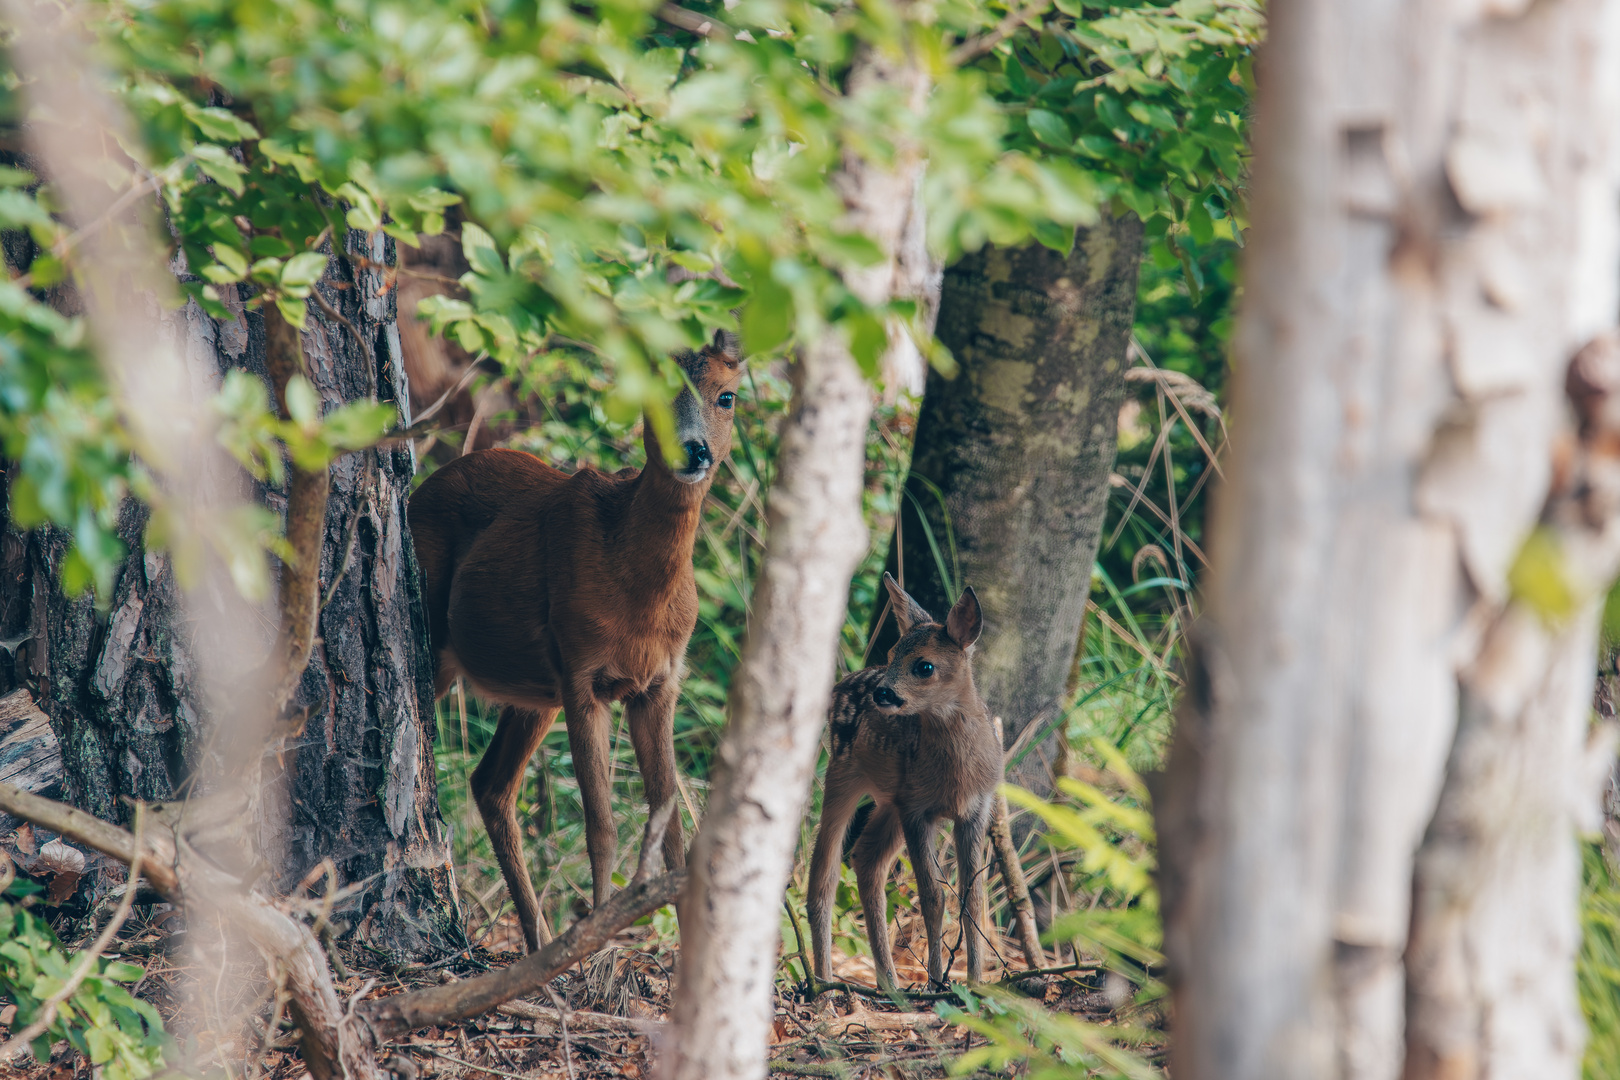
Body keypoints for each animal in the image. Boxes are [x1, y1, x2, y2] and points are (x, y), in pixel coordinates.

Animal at [414, 333, 748, 952]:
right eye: (653, 390)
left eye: (726, 396)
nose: (694, 451)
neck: (640, 598)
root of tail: (422, 485)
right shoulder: (581, 673)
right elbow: (602, 824)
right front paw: (597, 944)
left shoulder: (661, 682)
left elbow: (670, 823)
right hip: (442, 636)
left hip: (534, 690)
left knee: (491, 784)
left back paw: (537, 939)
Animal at [806, 573, 997, 990]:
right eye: (893, 652)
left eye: (924, 666)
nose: (883, 692)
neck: (956, 775)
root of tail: (844, 681)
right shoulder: (917, 809)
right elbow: (933, 897)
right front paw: (937, 981)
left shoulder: (976, 809)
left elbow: (973, 898)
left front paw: (975, 982)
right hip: (842, 773)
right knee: (825, 874)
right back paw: (825, 980)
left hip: (888, 801)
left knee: (865, 859)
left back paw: (889, 982)